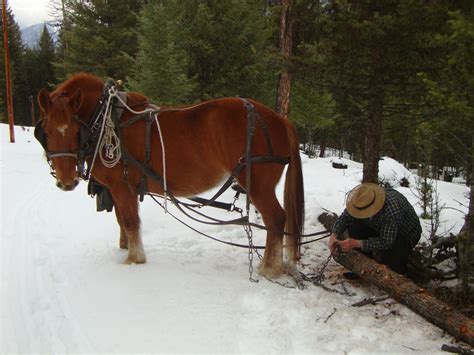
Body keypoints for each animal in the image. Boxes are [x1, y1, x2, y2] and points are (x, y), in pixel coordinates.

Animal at [35, 73, 306, 278]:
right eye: (46, 131)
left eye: (74, 130)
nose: (66, 181)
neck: (106, 120)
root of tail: (281, 121)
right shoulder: (117, 189)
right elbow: (122, 221)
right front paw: (126, 251)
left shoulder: (122, 186)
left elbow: (130, 222)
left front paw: (134, 260)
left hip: (259, 185)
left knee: (276, 219)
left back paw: (269, 269)